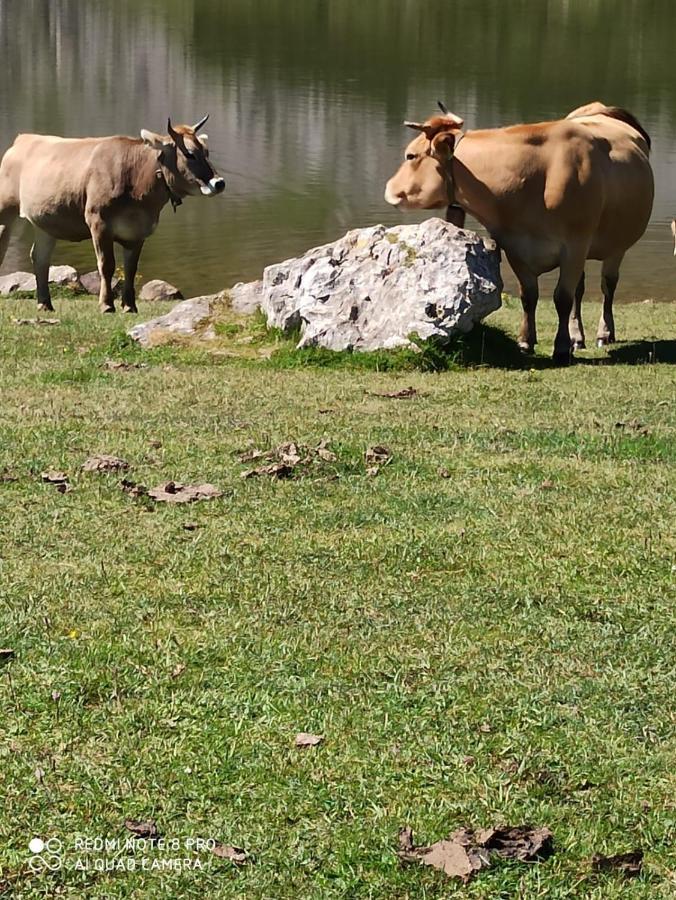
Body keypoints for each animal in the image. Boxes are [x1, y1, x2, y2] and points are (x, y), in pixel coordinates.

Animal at [0, 116, 224, 314]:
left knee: (40, 257)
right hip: (6, 211)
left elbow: (131, 269)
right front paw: (107, 305)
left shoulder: (138, 231)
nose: (219, 182)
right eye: (190, 154)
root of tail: (23, 138)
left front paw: (130, 306)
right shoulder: (98, 222)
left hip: (45, 222)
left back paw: (45, 304)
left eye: (206, 151)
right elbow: (107, 266)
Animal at [386, 101, 656, 362]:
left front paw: (560, 348)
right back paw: (577, 338)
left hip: (614, 246)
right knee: (580, 290)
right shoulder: (514, 246)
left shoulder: (575, 245)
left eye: (410, 155)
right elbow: (529, 296)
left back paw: (604, 333)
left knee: (607, 286)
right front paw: (526, 341)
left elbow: (562, 298)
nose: (389, 188)